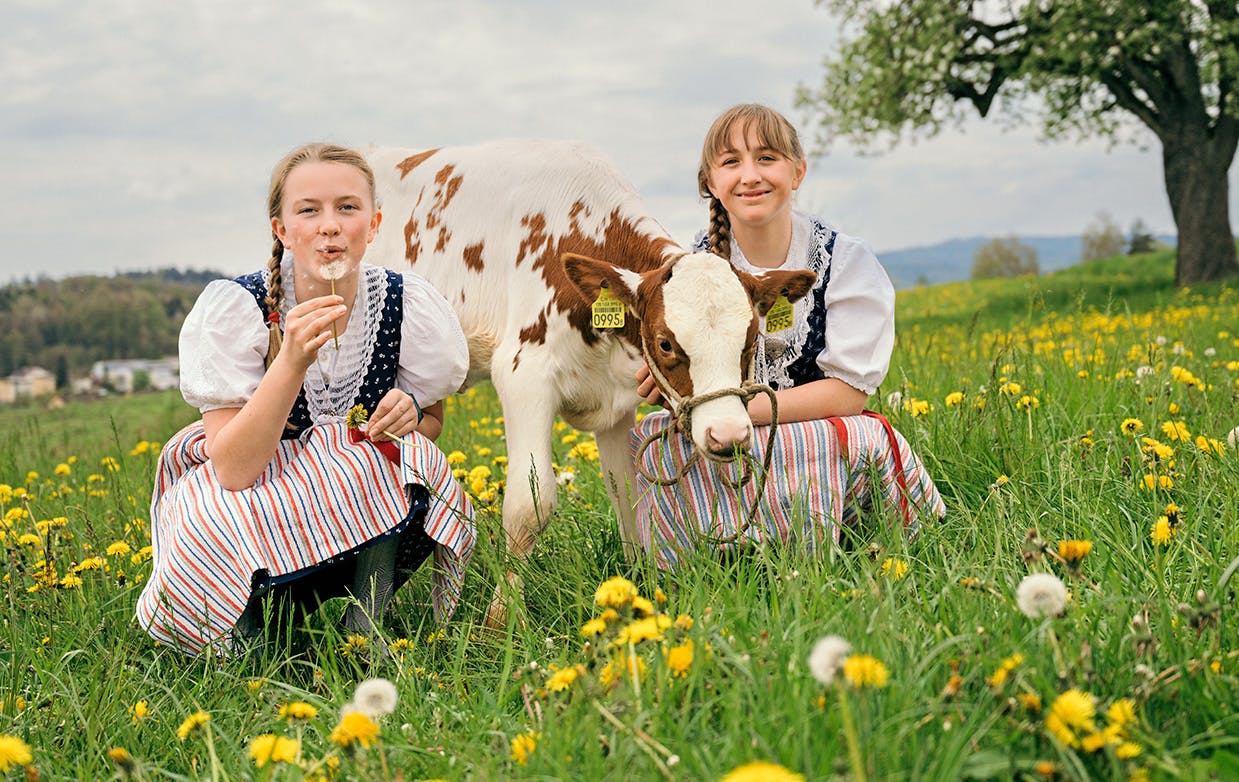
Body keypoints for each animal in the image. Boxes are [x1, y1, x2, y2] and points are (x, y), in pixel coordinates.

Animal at [361, 142, 817, 624]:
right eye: (665, 342)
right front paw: (502, 620)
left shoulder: (617, 402)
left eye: (751, 339)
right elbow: (529, 505)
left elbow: (627, 493)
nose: (727, 434)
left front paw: (638, 587)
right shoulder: (525, 374)